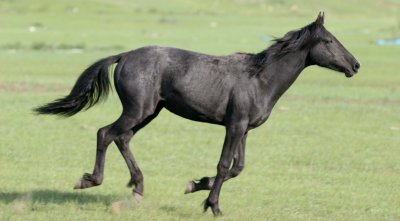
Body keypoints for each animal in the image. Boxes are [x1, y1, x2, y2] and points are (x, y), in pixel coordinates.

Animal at [34, 12, 360, 216]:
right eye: (329, 41)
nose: (355, 65)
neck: (259, 79)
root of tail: (124, 56)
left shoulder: (243, 129)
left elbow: (238, 168)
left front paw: (194, 185)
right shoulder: (234, 126)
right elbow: (224, 165)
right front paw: (212, 205)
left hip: (149, 113)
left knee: (122, 138)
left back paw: (138, 187)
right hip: (138, 110)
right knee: (106, 133)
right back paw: (90, 180)